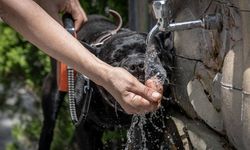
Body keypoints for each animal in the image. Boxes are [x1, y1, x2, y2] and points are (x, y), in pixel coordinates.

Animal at [39, 15, 184, 150]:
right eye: (115, 60)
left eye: (154, 53)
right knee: (48, 126)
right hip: (53, 92)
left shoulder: (152, 123)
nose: (137, 64)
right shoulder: (85, 128)